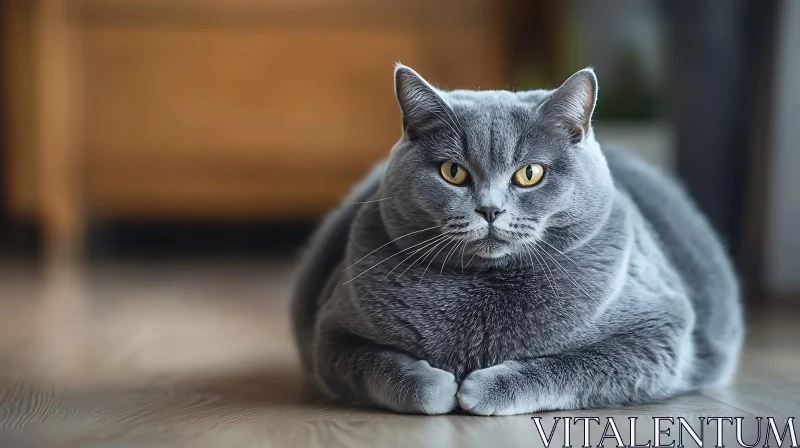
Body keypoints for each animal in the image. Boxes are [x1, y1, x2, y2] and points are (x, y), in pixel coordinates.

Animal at [290, 65, 744, 414]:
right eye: (453, 172)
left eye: (530, 173)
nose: (490, 210)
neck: (486, 286)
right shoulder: (332, 331)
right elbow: (378, 365)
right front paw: (438, 387)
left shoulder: (660, 330)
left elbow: (573, 364)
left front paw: (482, 389)